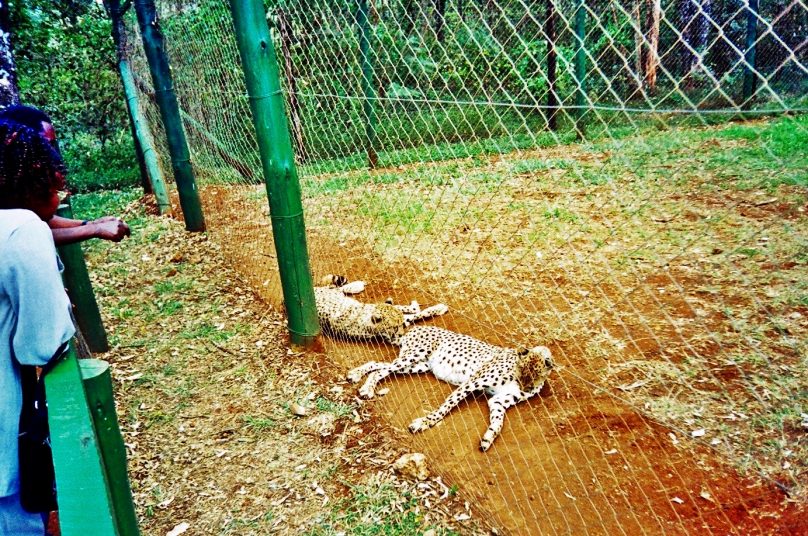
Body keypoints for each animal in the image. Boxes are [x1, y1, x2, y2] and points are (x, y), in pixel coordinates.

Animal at [314, 274, 448, 346]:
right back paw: (356, 286)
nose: (401, 333)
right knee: (336, 288)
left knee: (337, 288)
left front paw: (437, 308)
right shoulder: (392, 337)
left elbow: (413, 313)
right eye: (394, 327)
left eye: (399, 325)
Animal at [348, 324, 556, 450]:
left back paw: (360, 378)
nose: (526, 387)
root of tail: (415, 328)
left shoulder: (498, 401)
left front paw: (488, 438)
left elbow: (498, 423)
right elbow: (446, 406)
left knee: (379, 367)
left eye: (535, 373)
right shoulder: (472, 382)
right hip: (414, 355)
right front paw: (424, 422)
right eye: (522, 368)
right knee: (381, 368)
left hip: (419, 365)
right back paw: (364, 384)